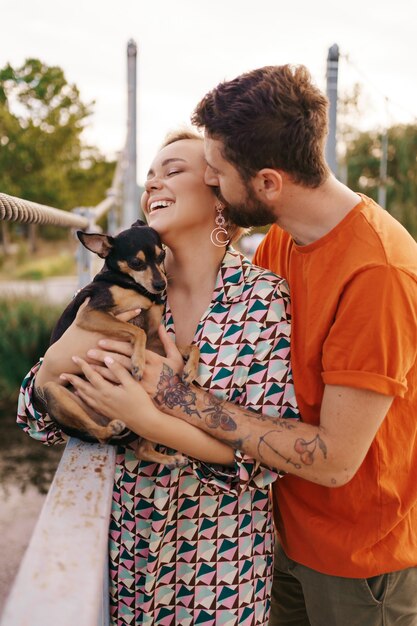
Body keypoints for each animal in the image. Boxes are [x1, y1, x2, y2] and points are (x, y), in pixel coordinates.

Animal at [41, 217, 197, 466]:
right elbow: (137, 331)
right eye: (136, 263)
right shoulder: (91, 314)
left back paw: (169, 459)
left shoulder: (155, 341)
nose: (160, 284)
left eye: (162, 255)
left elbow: (190, 345)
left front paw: (190, 369)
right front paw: (138, 363)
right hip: (52, 390)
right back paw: (110, 429)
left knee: (143, 448)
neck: (129, 284)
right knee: (99, 436)